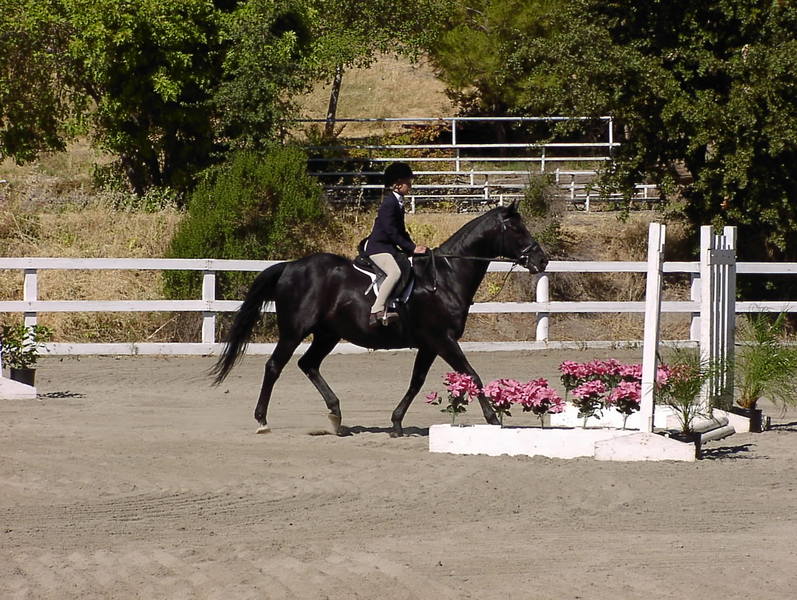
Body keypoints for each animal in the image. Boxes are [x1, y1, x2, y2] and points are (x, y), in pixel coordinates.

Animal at [211, 200, 549, 436]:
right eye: (517, 230)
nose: (542, 260)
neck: (446, 276)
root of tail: (291, 265)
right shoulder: (443, 339)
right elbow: (472, 375)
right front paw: (493, 419)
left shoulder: (429, 344)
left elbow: (416, 382)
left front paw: (397, 423)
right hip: (295, 330)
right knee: (274, 366)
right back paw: (262, 421)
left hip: (328, 334)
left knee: (308, 364)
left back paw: (336, 416)